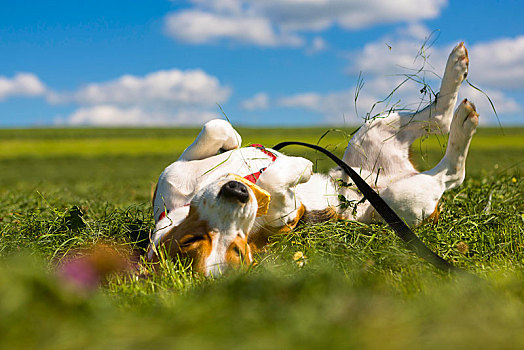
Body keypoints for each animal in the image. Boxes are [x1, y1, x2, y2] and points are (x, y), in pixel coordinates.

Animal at [146, 42, 474, 274]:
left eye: (189, 239)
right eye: (236, 248)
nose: (237, 192)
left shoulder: (173, 173)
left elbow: (214, 127)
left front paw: (239, 144)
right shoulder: (286, 213)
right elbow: (280, 187)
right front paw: (297, 169)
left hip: (372, 132)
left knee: (438, 118)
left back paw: (458, 74)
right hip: (403, 200)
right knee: (450, 172)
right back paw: (465, 120)